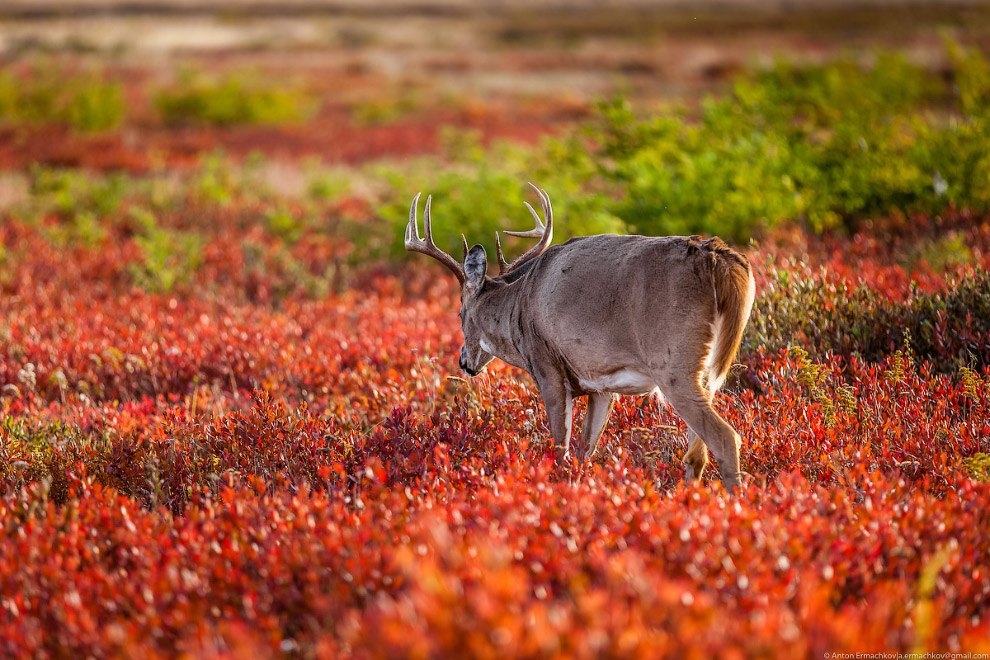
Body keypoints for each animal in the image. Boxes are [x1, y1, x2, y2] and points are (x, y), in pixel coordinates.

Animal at [406, 183, 756, 492]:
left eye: (460, 314)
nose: (463, 362)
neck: (519, 306)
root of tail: (720, 260)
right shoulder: (601, 385)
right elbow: (585, 449)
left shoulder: (547, 367)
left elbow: (559, 449)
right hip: (707, 371)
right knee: (696, 453)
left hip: (674, 363)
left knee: (725, 438)